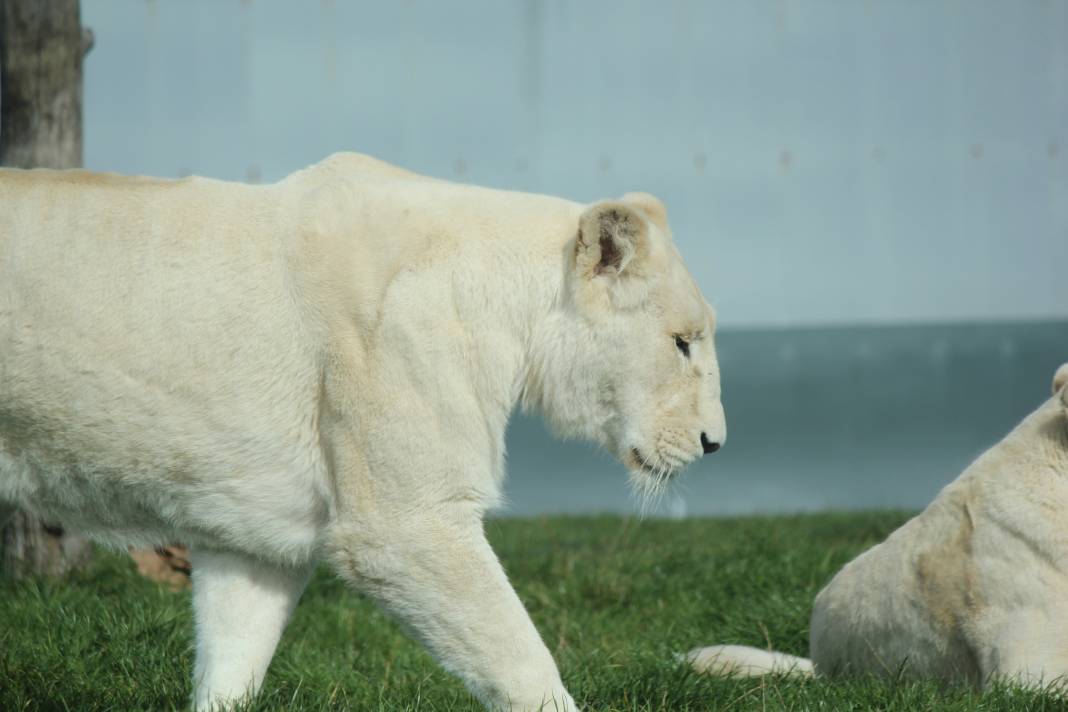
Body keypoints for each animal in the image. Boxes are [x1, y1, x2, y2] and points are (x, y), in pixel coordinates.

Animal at [0, 153, 726, 708]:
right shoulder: (404, 525)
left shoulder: (251, 533)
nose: (714, 443)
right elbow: (522, 661)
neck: (506, 314)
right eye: (683, 342)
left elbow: (233, 657)